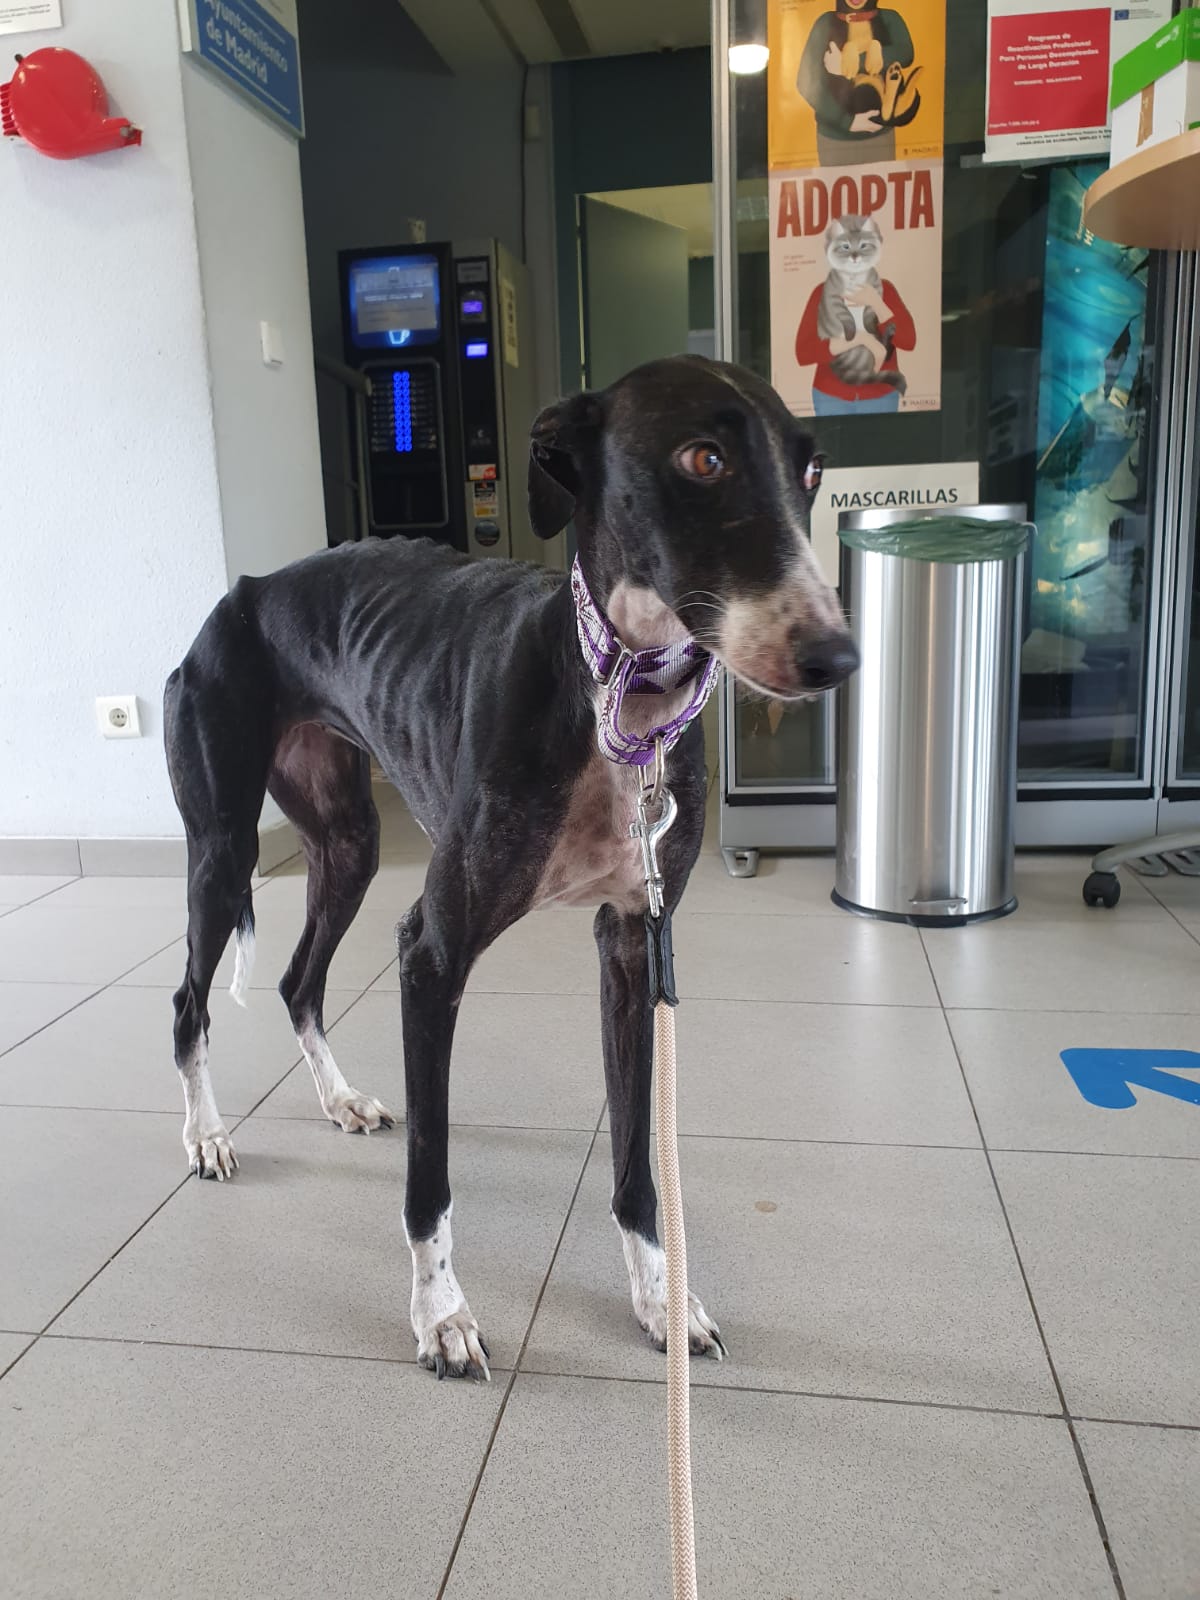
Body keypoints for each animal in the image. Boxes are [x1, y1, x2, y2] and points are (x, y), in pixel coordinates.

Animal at [164, 355, 858, 1381]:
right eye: (703, 457)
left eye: (811, 469)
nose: (837, 657)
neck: (614, 696)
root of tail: (239, 594)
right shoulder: (432, 952)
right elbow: (432, 1178)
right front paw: (441, 1314)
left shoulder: (634, 944)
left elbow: (638, 1163)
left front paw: (659, 1298)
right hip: (222, 852)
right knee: (190, 1001)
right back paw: (207, 1135)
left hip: (348, 844)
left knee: (298, 979)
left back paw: (339, 1099)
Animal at [816, 215, 908, 395]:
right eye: (846, 247)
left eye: (863, 245)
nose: (854, 256)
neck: (855, 279)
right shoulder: (834, 297)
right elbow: (846, 316)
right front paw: (850, 333)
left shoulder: (876, 292)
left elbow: (869, 315)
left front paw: (871, 325)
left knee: (884, 349)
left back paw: (888, 331)